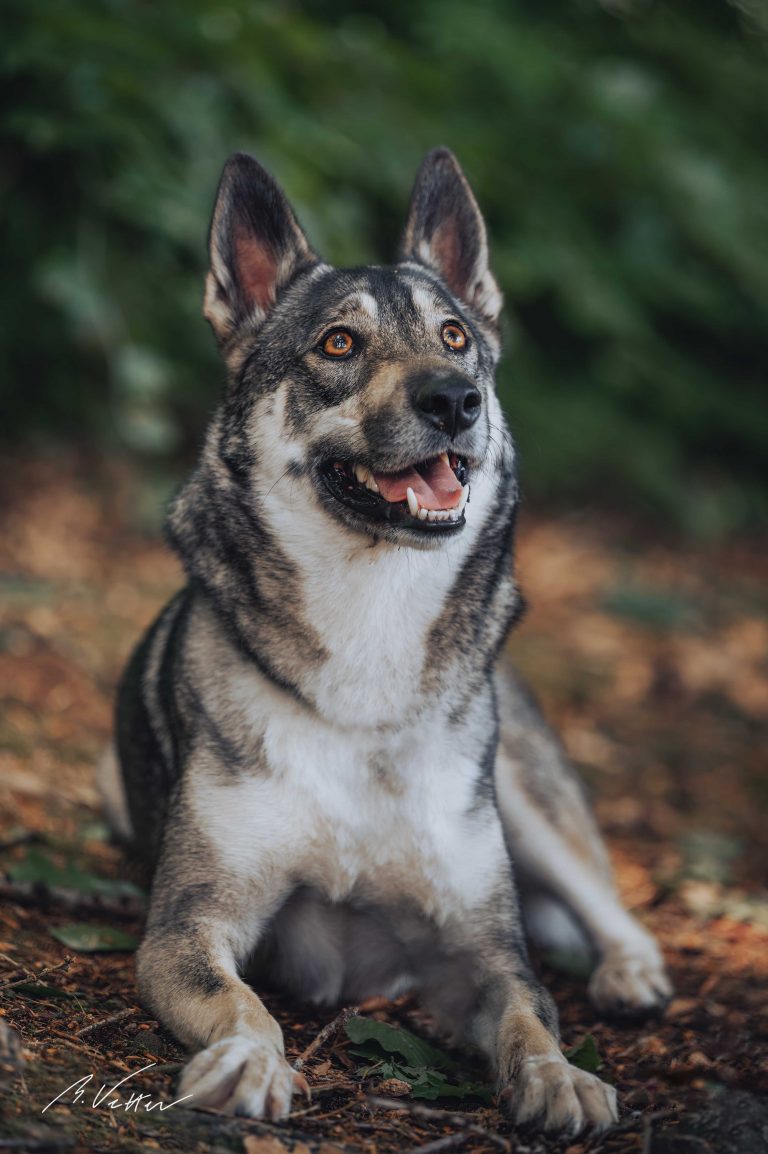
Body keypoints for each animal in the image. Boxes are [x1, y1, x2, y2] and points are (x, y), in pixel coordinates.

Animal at [101, 148, 668, 1130]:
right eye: (338, 344)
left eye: (454, 337)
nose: (456, 400)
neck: (371, 628)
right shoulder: (189, 926)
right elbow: (241, 1002)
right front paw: (248, 1060)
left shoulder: (481, 953)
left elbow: (529, 1013)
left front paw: (560, 1078)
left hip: (525, 794)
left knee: (609, 901)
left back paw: (629, 972)